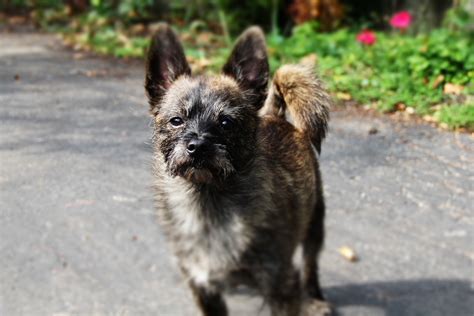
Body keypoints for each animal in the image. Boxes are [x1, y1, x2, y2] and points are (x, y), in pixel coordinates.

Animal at [145, 23, 334, 314]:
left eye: (226, 122)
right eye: (176, 120)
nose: (197, 146)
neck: (209, 206)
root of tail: (276, 116)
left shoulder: (281, 285)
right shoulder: (202, 286)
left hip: (315, 223)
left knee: (310, 263)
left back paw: (314, 299)